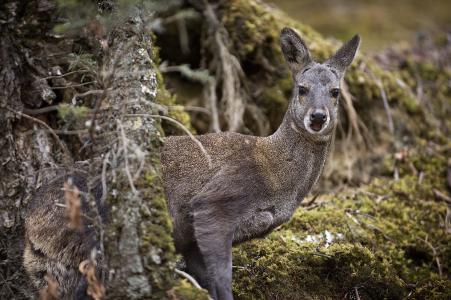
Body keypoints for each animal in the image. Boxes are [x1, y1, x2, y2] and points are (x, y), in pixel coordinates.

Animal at [162, 28, 360, 300]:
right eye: (302, 88)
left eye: (335, 91)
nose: (318, 116)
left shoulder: (191, 239)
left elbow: (207, 280)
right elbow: (222, 278)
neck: (276, 176)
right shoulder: (214, 201)